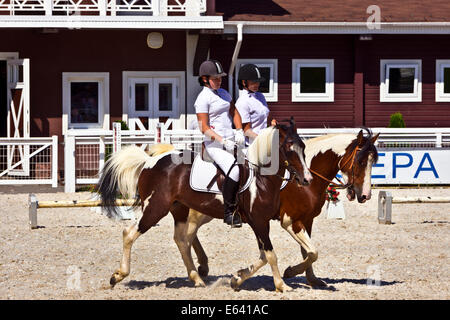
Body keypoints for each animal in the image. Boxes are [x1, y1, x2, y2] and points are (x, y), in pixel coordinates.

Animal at [96, 122, 312, 292]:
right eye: (289, 148)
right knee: (129, 233)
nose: (307, 179)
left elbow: (264, 256)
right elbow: (271, 255)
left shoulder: (259, 223)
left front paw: (237, 279)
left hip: (179, 209)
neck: (261, 178)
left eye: (303, 147)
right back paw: (117, 276)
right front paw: (281, 285)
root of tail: (149, 161)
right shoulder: (259, 222)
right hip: (155, 208)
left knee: (181, 241)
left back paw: (197, 279)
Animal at [163, 129, 378, 288]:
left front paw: (312, 279)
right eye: (360, 162)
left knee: (189, 238)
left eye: (373, 162)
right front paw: (290, 272)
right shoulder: (290, 221)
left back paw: (203, 268)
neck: (305, 176)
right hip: (196, 214)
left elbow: (307, 252)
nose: (365, 195)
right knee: (185, 239)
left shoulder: (306, 220)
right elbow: (311, 252)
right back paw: (198, 274)